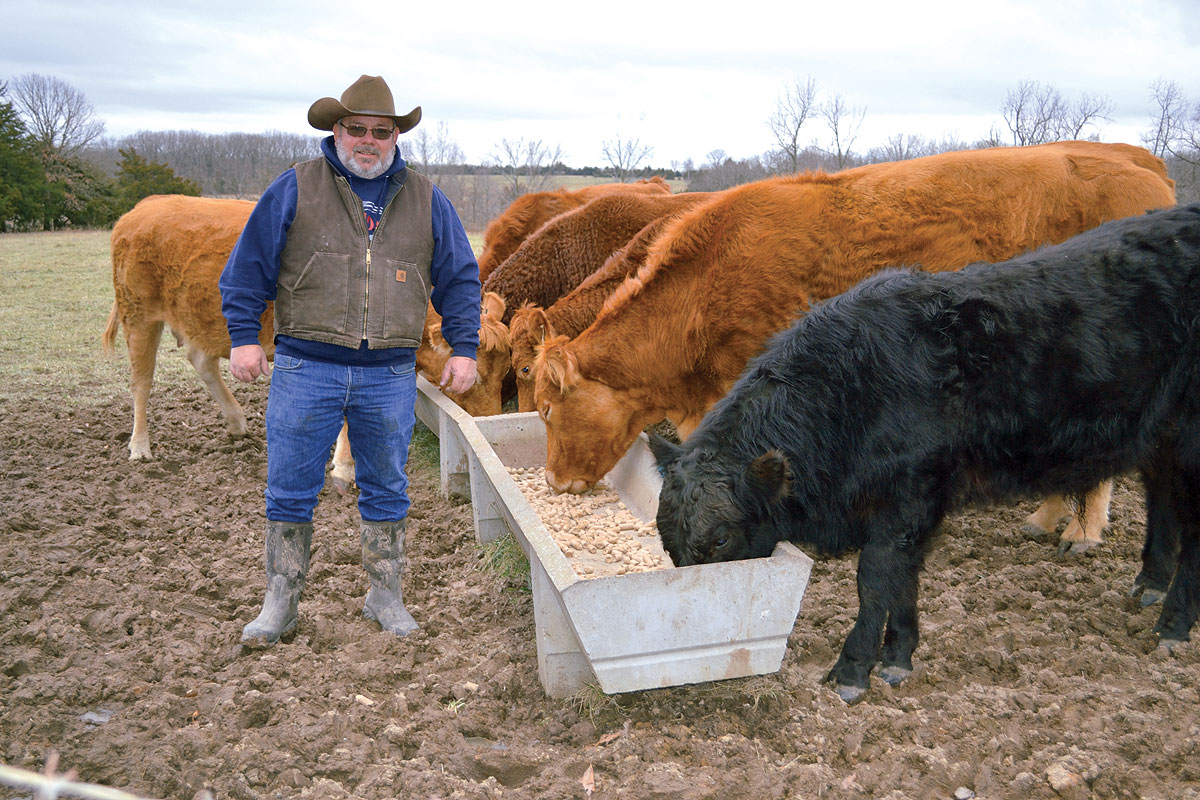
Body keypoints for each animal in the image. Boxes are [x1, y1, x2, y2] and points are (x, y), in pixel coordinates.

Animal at [652, 203, 1200, 705]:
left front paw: (853, 671)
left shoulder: (910, 491)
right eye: (667, 540)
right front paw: (897, 658)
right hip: (1161, 435)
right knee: (1162, 498)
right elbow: (904, 577)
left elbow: (876, 578)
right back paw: (1150, 584)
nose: (693, 621)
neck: (855, 387)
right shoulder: (914, 507)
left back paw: (1173, 625)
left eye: (721, 539)